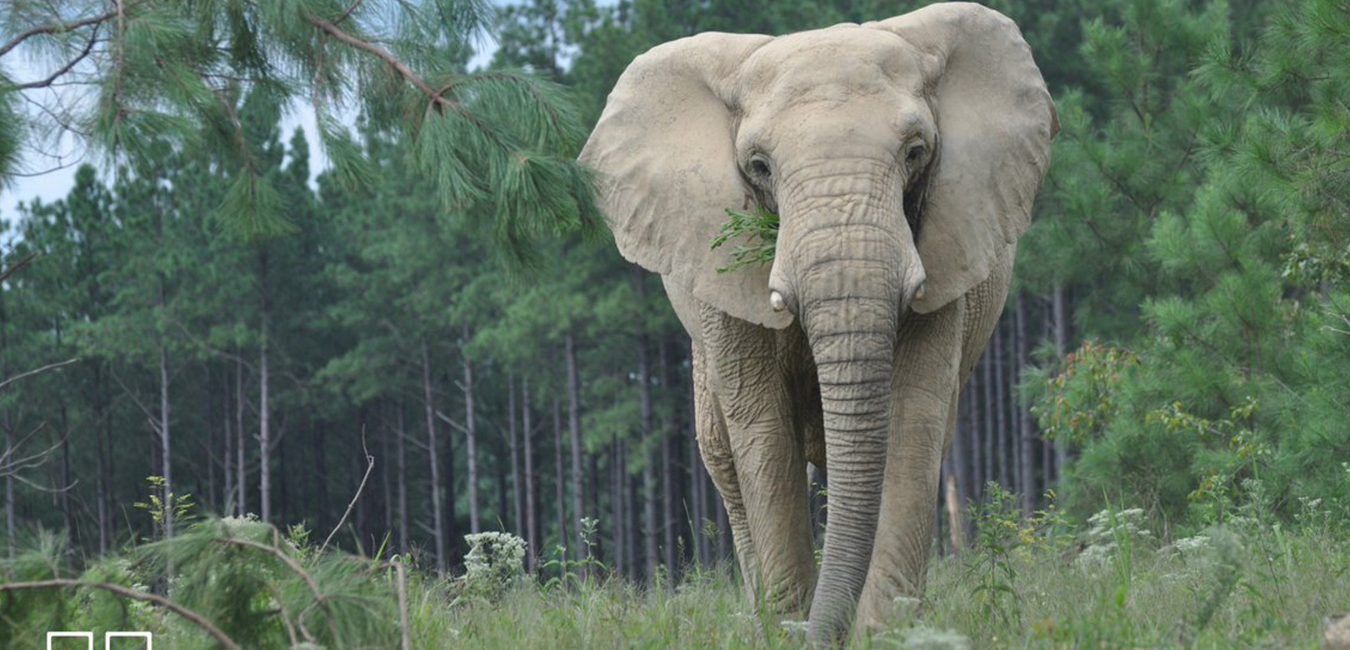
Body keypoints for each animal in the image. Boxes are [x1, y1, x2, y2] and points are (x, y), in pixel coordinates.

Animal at [579, 3, 1057, 646]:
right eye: (758, 166)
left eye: (915, 151)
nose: (821, 631)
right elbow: (761, 429)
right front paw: (787, 629)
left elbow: (914, 414)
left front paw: (888, 632)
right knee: (724, 454)